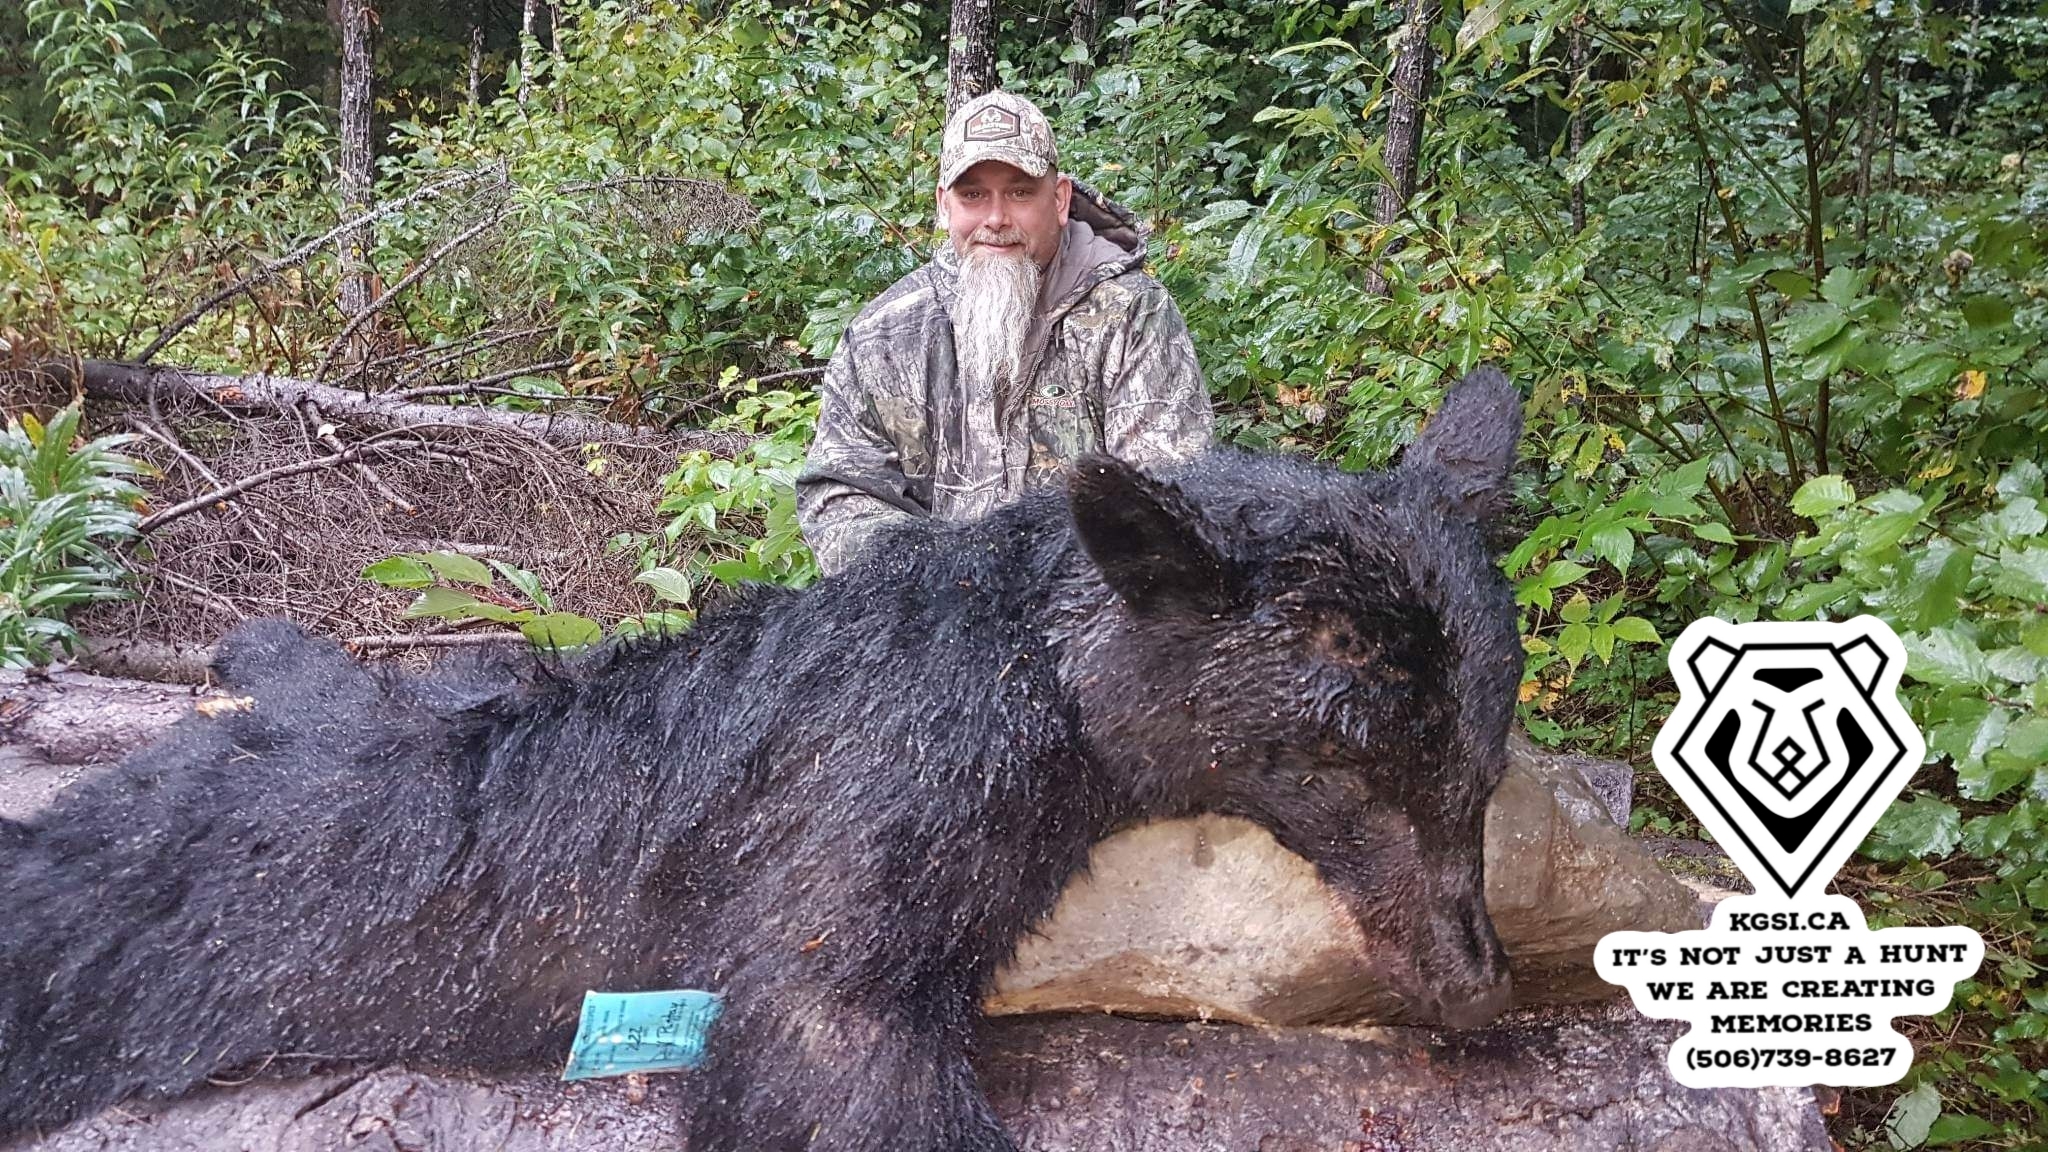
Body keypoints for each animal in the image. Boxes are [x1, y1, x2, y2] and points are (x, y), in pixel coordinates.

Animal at [0, 367, 1525, 1151]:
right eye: (1342, 770)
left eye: (1484, 764)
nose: (1478, 988)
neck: (1037, 658)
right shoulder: (888, 796)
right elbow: (825, 1027)